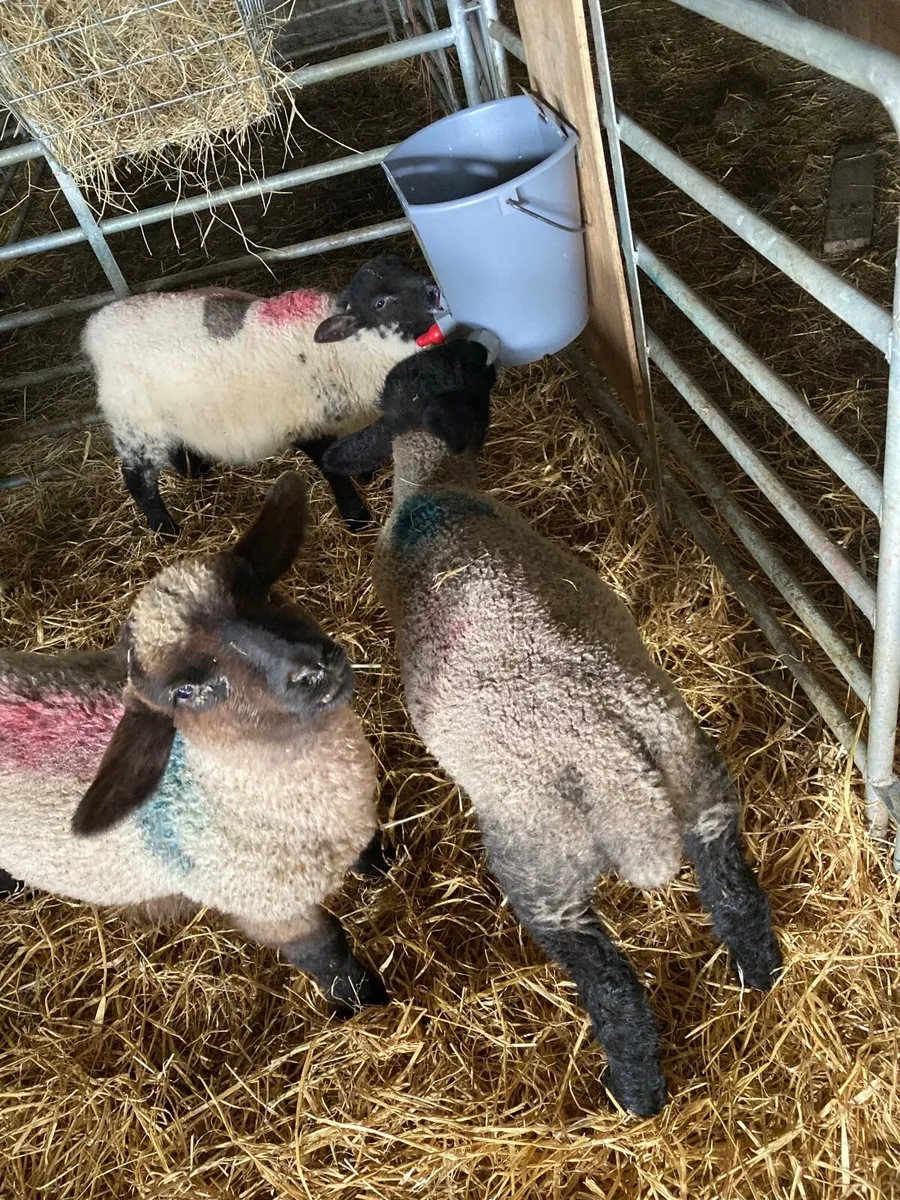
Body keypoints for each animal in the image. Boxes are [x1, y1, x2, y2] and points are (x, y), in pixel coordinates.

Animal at [0, 473, 389, 1014]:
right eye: (186, 692)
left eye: (263, 592)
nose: (314, 667)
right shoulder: (269, 908)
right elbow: (327, 952)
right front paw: (365, 1002)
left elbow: (369, 852)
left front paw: (381, 866)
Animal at [82, 254, 440, 538]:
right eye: (380, 303)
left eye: (406, 267)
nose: (433, 290)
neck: (346, 352)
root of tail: (98, 326)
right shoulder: (308, 424)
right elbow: (332, 471)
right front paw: (356, 517)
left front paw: (366, 475)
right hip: (135, 423)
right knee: (137, 477)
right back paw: (165, 529)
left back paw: (195, 471)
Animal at [322, 340, 783, 1114]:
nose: (479, 342)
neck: (431, 489)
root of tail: (619, 768)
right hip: (700, 779)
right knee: (734, 896)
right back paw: (764, 973)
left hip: (544, 875)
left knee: (614, 989)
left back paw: (634, 1092)